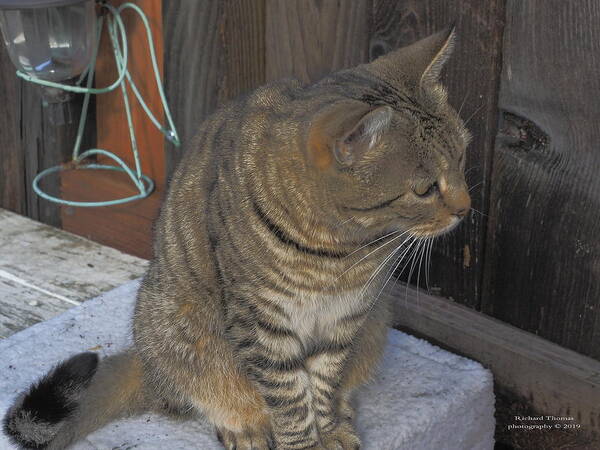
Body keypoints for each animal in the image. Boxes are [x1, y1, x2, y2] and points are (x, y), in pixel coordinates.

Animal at [5, 26, 474, 448]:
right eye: (424, 189)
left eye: (462, 157)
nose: (466, 208)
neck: (339, 251)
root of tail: (146, 361)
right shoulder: (263, 323)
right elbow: (291, 399)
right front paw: (304, 443)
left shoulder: (345, 317)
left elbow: (323, 385)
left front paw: (331, 430)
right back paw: (243, 428)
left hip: (375, 323)